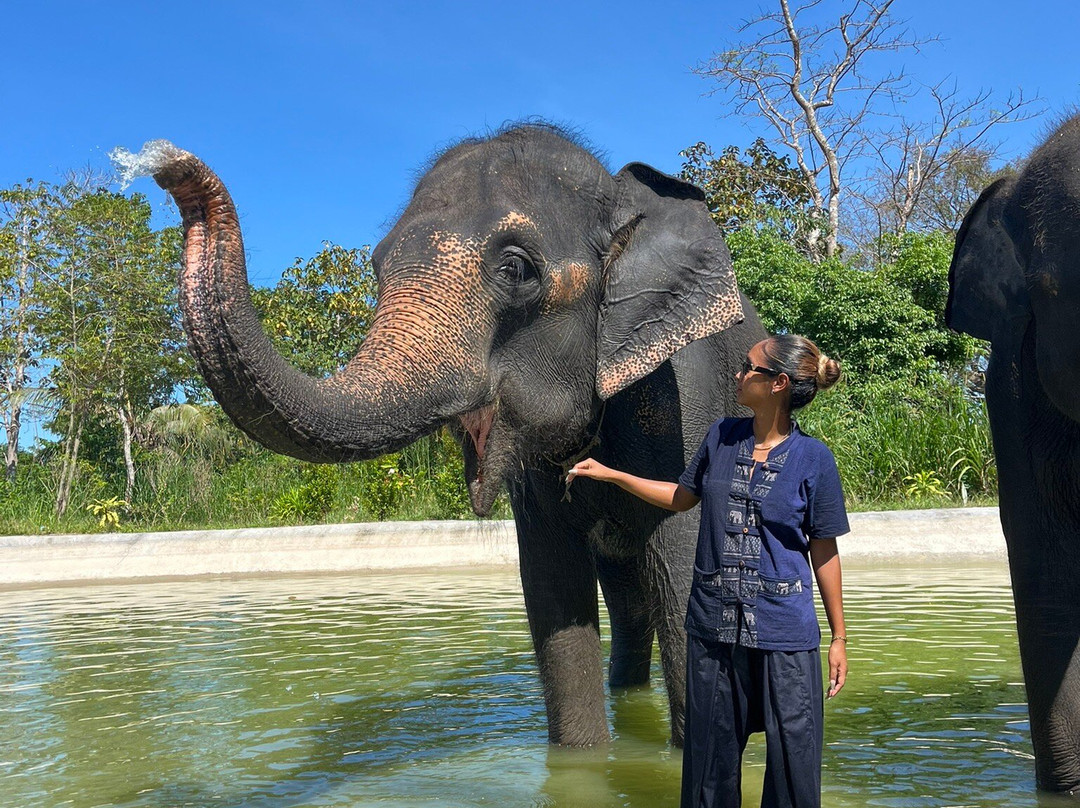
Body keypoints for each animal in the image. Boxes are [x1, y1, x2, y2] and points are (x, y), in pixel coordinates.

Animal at [136, 124, 767, 747]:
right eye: (376, 267)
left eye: (516, 270)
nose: (166, 165)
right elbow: (552, 590)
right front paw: (585, 759)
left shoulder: (685, 397)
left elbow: (684, 578)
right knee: (629, 602)